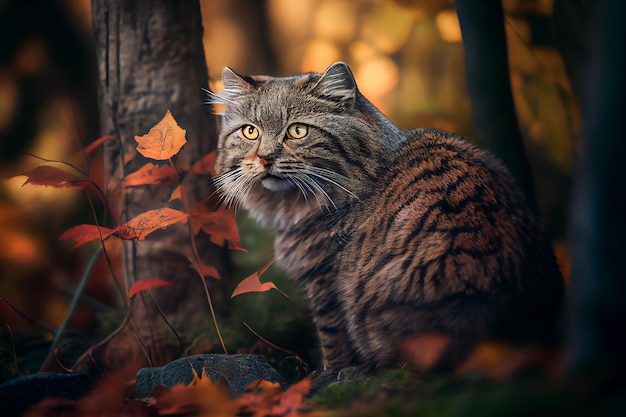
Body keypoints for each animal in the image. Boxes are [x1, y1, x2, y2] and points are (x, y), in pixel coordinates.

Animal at [208, 61, 560, 370]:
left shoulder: (324, 280)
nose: (265, 158)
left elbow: (333, 340)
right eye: (250, 132)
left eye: (297, 131)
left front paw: (333, 374)